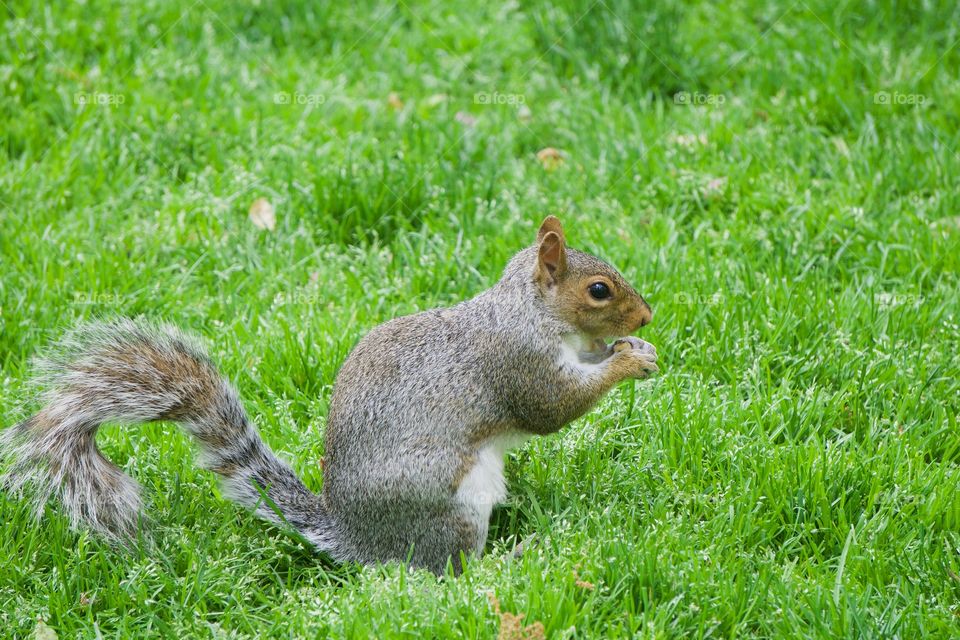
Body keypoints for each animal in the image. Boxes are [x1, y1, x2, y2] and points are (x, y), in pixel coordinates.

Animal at [0, 216, 658, 575]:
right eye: (599, 290)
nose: (648, 316)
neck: (529, 312)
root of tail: (357, 538)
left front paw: (633, 349)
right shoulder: (517, 364)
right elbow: (553, 408)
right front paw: (627, 360)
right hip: (450, 505)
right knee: (448, 571)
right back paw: (506, 561)